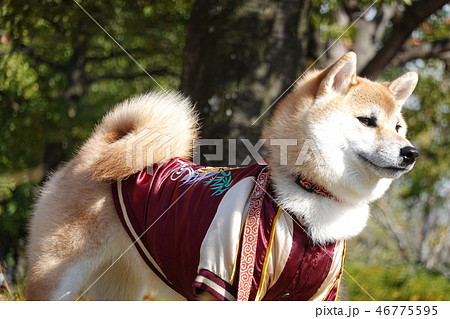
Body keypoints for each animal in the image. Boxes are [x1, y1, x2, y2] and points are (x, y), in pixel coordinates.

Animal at [24, 52, 418, 300]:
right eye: (367, 120)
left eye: (399, 126)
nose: (411, 152)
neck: (309, 193)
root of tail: (93, 151)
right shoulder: (225, 282)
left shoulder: (315, 296)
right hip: (55, 277)